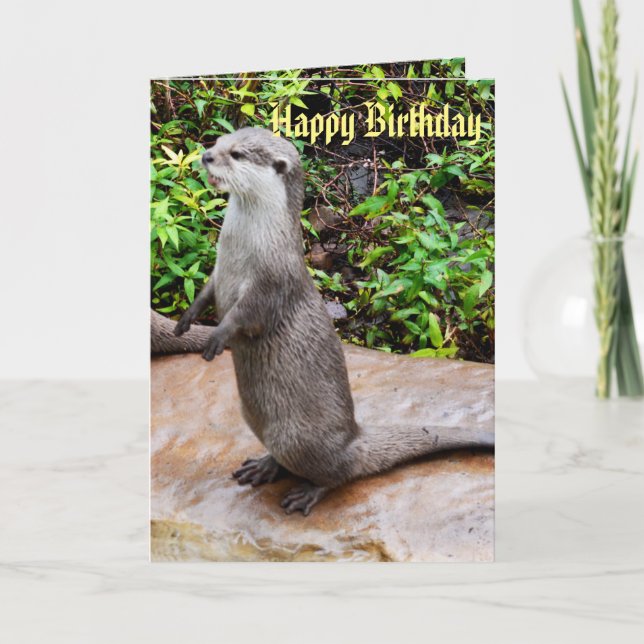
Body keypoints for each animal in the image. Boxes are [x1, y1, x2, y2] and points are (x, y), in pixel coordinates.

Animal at [174, 127, 493, 516]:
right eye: (219, 142)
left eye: (235, 154)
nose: (206, 156)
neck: (244, 248)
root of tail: (353, 439)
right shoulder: (219, 271)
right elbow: (206, 292)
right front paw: (187, 321)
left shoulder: (272, 280)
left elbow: (246, 315)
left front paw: (216, 337)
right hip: (255, 419)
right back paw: (264, 466)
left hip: (296, 437)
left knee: (339, 474)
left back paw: (307, 493)